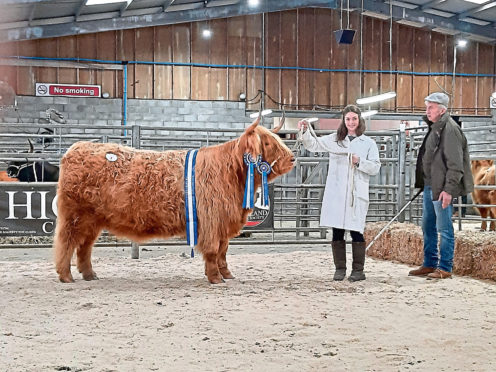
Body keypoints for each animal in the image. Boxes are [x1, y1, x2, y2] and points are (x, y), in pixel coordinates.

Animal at [54, 117, 294, 284]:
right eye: (267, 143)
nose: (292, 158)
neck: (231, 172)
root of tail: (76, 148)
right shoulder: (211, 221)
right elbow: (213, 251)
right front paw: (215, 278)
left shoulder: (222, 222)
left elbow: (223, 251)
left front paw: (227, 274)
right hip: (75, 216)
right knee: (67, 243)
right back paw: (66, 276)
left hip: (92, 220)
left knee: (84, 247)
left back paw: (89, 274)